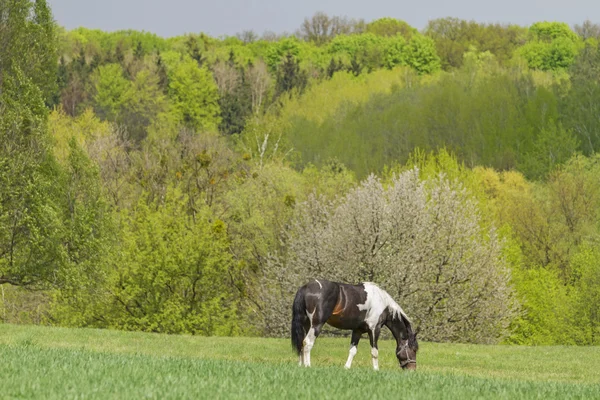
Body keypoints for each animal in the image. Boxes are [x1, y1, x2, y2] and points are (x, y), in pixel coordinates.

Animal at [290, 280, 418, 370]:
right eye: (414, 349)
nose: (412, 369)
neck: (382, 303)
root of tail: (306, 288)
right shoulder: (374, 329)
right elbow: (374, 351)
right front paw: (376, 369)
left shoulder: (358, 330)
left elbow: (352, 350)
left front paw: (346, 367)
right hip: (316, 324)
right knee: (308, 342)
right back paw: (308, 365)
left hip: (306, 324)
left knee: (301, 342)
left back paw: (301, 365)